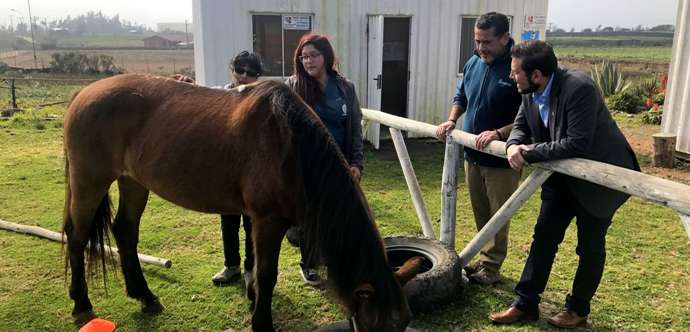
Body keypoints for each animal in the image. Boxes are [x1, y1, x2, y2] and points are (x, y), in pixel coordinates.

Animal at [63, 75, 420, 332]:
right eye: (379, 326)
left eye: (404, 323)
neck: (291, 145)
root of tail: (81, 95)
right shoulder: (268, 220)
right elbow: (266, 274)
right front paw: (262, 323)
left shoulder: (256, 217)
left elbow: (254, 266)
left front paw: (253, 300)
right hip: (89, 182)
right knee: (77, 236)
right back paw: (81, 304)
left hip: (133, 182)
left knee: (124, 231)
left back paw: (145, 297)